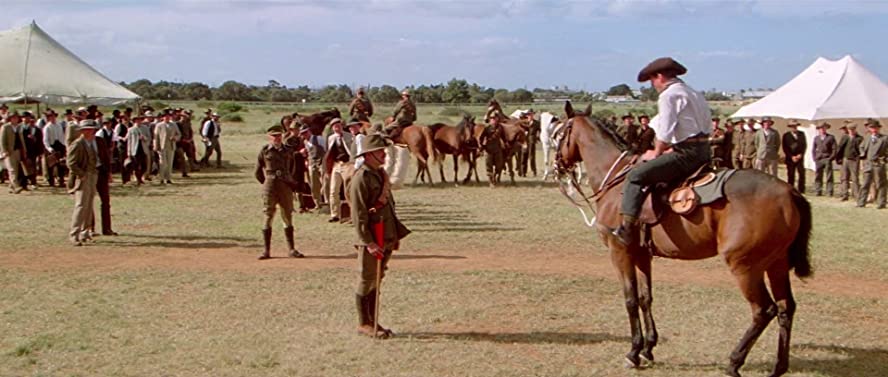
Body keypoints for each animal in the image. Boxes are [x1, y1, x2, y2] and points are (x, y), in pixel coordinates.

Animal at [556, 100, 812, 376]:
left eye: (558, 133)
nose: (557, 166)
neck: (618, 183)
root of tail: (788, 191)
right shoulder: (642, 255)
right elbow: (646, 298)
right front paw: (648, 349)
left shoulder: (620, 252)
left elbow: (631, 300)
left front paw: (634, 352)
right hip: (777, 263)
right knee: (786, 308)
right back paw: (779, 366)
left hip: (746, 266)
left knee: (764, 310)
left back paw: (734, 362)